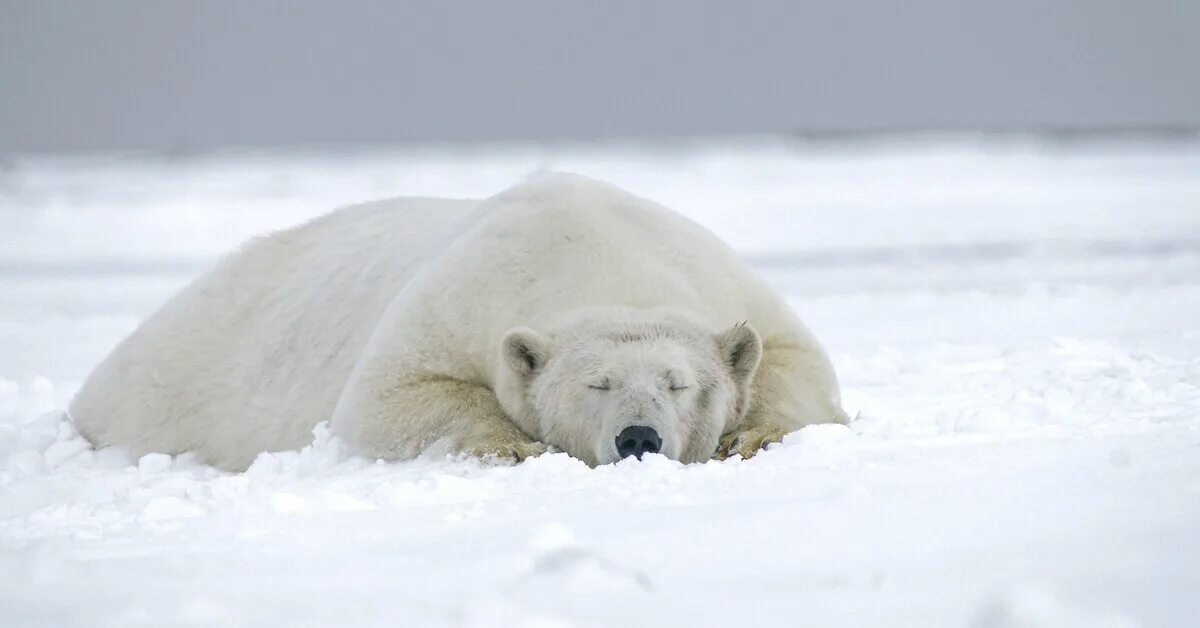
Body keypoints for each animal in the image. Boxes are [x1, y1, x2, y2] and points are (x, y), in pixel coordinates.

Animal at [70, 174, 849, 468]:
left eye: (678, 383)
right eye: (595, 385)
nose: (638, 438)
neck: (595, 251)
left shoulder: (718, 277)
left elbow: (795, 363)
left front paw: (751, 436)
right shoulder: (461, 297)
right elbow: (389, 399)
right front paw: (514, 446)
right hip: (173, 380)